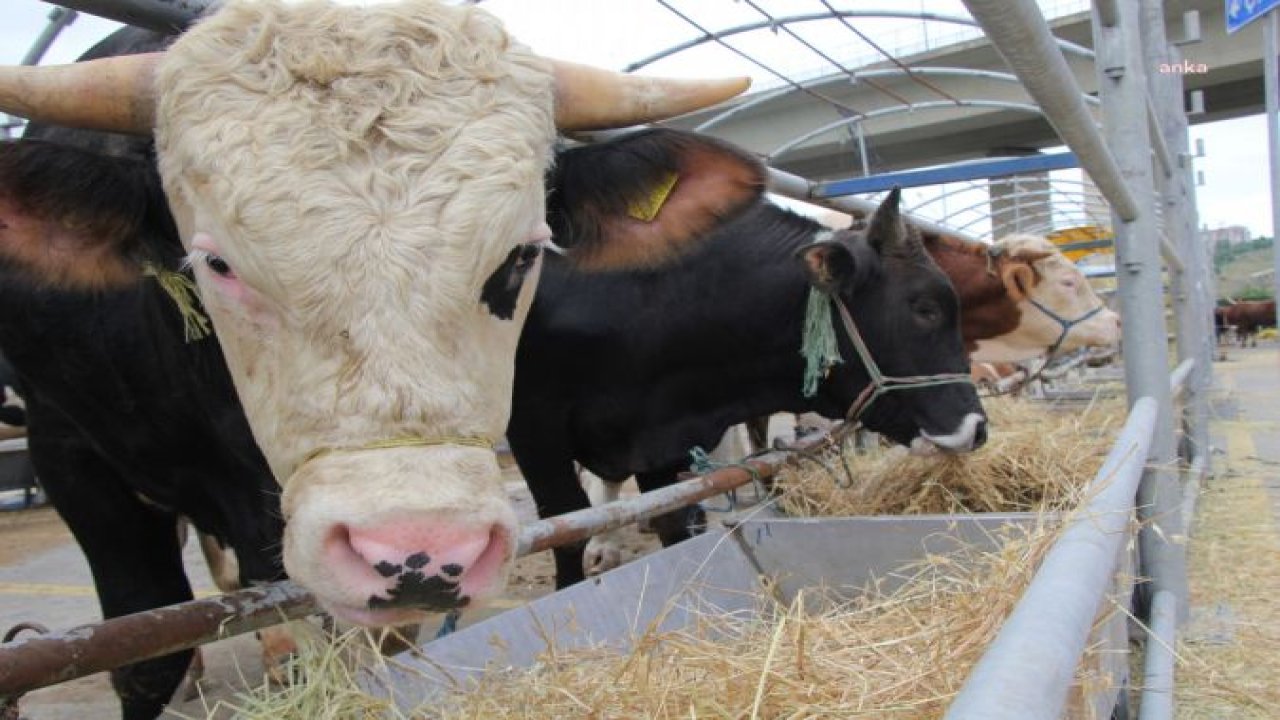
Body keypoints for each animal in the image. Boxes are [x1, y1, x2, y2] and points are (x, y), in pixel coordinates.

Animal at [504, 128, 983, 589]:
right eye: (924, 308)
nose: (978, 427)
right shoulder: (533, 427)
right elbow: (566, 528)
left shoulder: (658, 441)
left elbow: (673, 519)